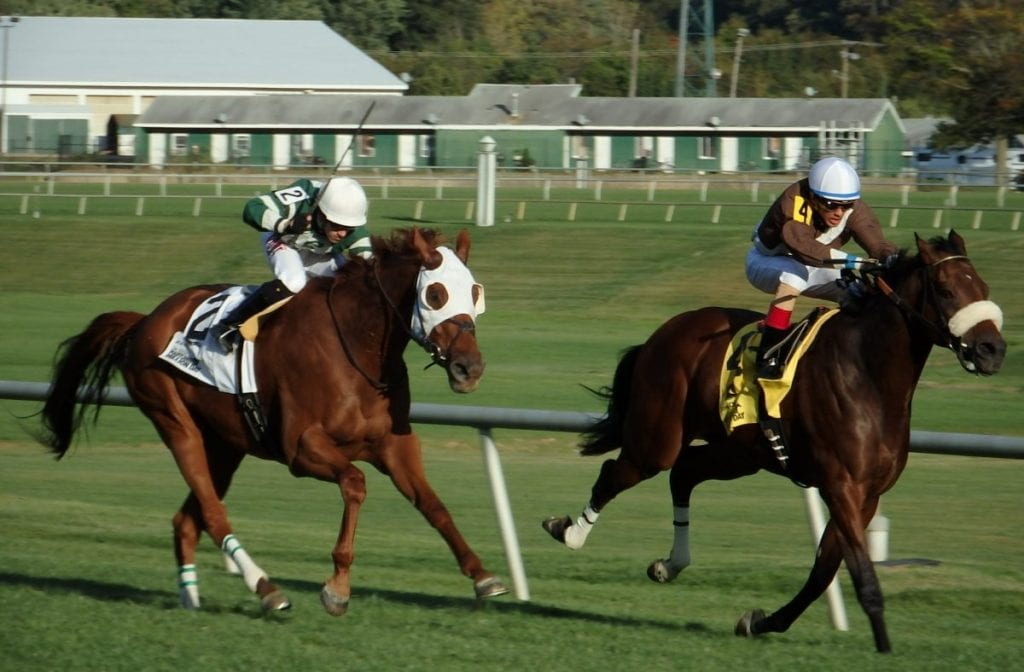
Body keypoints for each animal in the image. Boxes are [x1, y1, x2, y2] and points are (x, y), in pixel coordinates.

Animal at [37, 229, 509, 614]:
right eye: (436, 295)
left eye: (475, 292)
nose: (470, 368)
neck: (357, 347)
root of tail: (144, 322)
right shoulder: (301, 449)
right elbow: (355, 484)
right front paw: (337, 588)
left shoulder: (394, 445)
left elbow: (432, 504)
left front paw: (482, 575)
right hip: (174, 422)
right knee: (213, 513)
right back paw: (266, 589)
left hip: (224, 446)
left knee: (187, 519)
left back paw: (191, 598)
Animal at [548, 229, 1003, 651]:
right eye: (945, 290)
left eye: (983, 287)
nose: (992, 350)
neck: (868, 375)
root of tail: (665, 331)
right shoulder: (842, 486)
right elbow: (861, 575)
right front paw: (884, 645)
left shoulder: (868, 494)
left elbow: (822, 573)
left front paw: (760, 621)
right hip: (658, 439)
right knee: (619, 471)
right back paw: (570, 532)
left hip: (741, 453)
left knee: (685, 472)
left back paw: (670, 564)